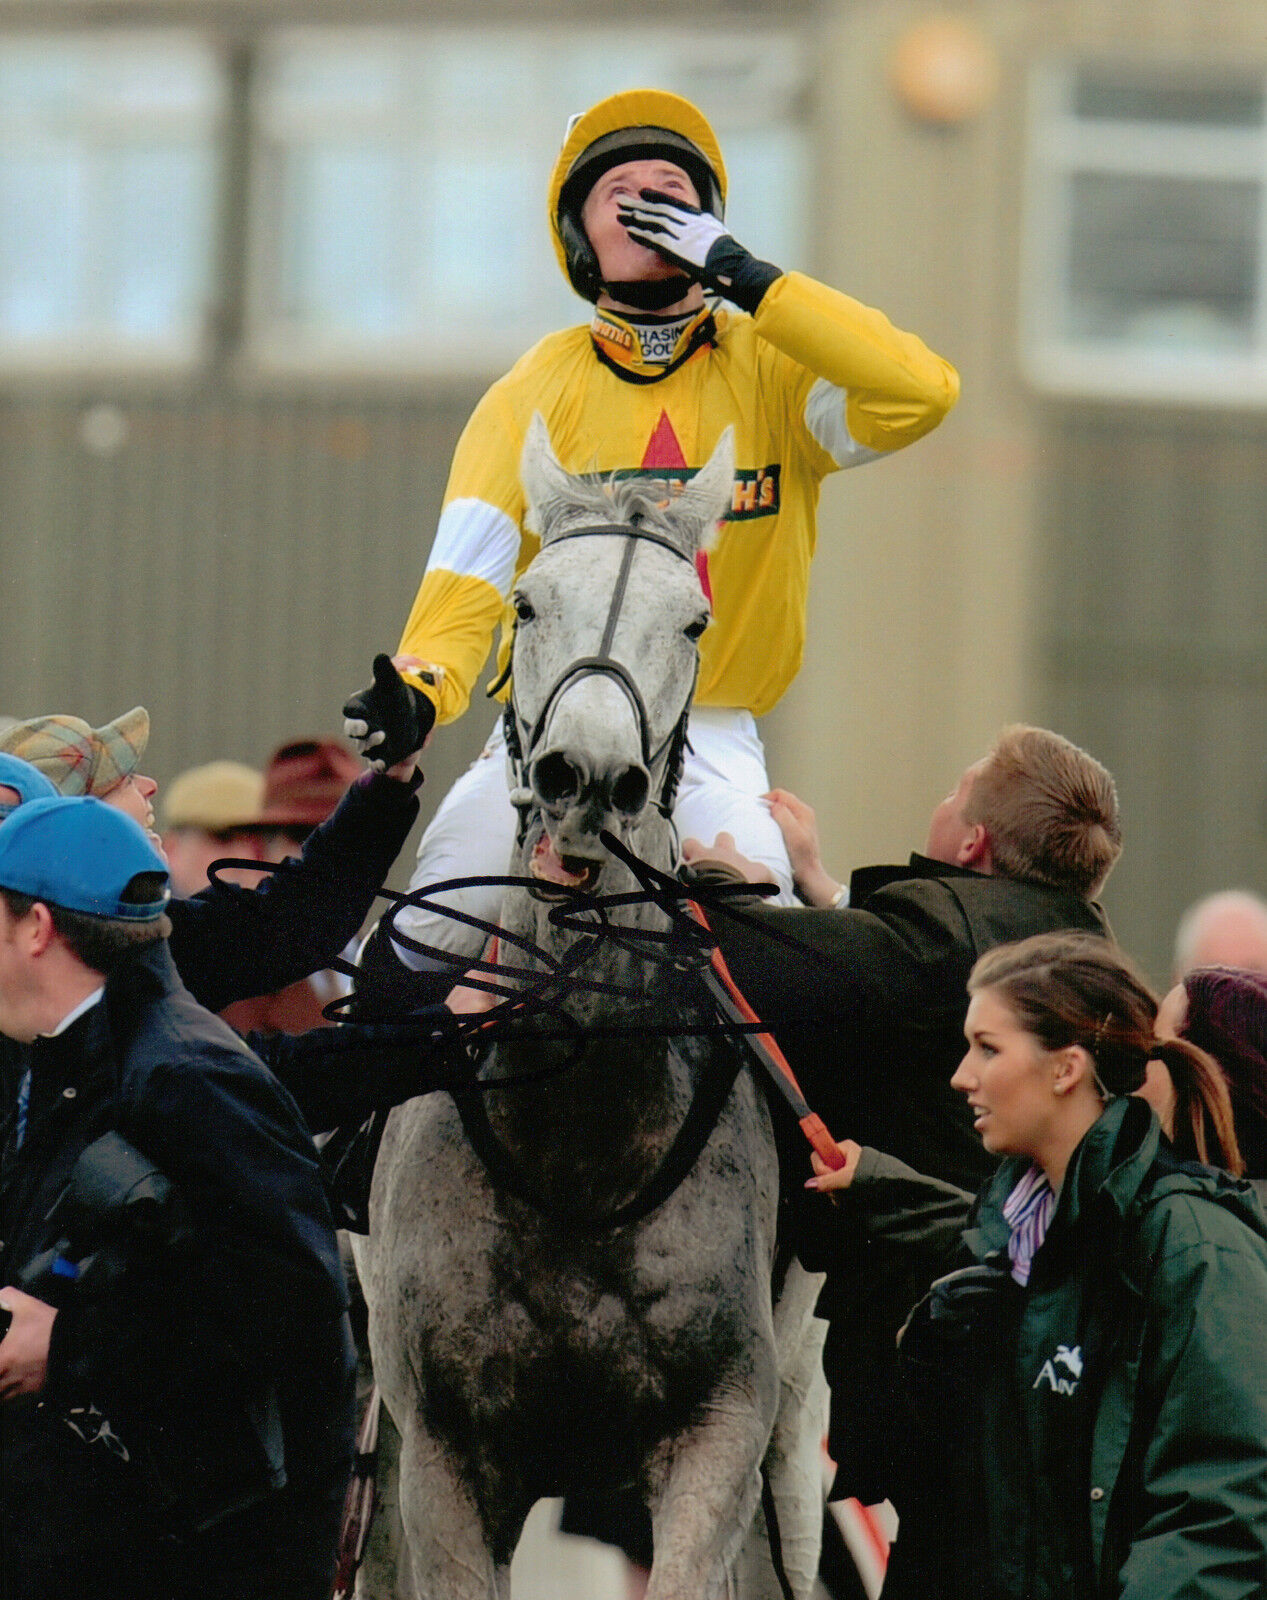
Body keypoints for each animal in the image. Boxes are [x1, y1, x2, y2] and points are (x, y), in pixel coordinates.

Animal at [361, 416, 825, 1600]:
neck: (578, 1142)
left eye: (693, 618)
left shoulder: (720, 1427)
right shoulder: (440, 1450)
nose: (587, 778)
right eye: (527, 603)